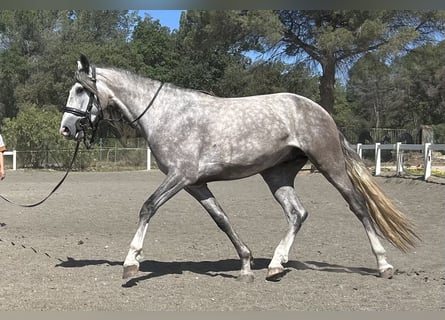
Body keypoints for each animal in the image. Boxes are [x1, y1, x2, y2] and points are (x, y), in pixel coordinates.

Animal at [59, 55, 416, 282]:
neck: (167, 115)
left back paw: (384, 264)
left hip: (329, 165)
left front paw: (131, 263)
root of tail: (319, 110)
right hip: (277, 174)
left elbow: (147, 208)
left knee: (358, 206)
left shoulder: (180, 177)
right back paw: (275, 265)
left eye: (81, 90)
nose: (65, 128)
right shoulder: (194, 183)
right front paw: (245, 263)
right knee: (297, 213)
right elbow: (222, 219)